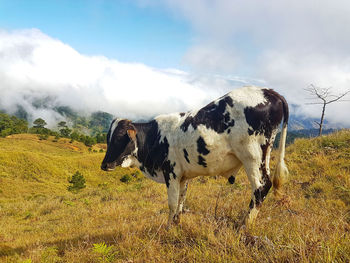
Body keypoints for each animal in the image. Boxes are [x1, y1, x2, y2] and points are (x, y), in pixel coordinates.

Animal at [100, 86, 288, 229]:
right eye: (108, 138)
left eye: (119, 137)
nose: (104, 165)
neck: (155, 136)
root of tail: (270, 92)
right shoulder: (183, 176)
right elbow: (181, 201)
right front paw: (177, 223)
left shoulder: (171, 172)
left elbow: (172, 203)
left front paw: (168, 228)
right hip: (264, 156)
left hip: (252, 156)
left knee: (261, 187)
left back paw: (244, 225)